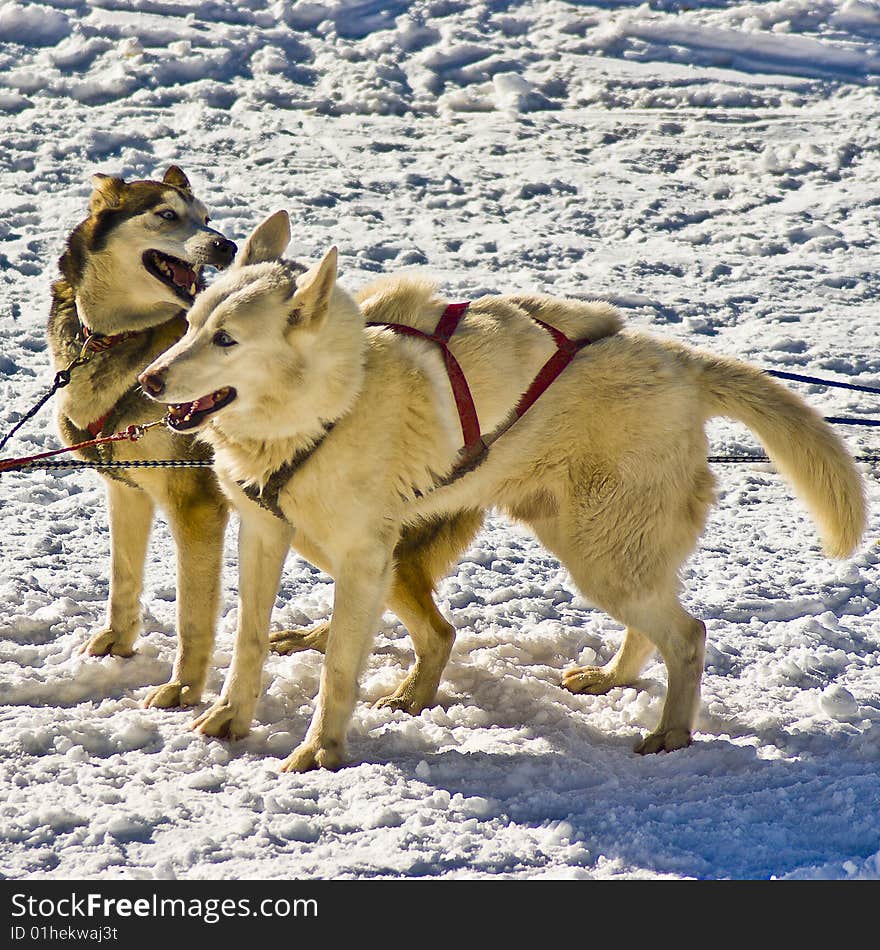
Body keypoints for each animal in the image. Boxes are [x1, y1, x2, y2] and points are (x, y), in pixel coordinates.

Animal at [139, 210, 868, 772]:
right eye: (190, 323)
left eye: (226, 339)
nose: (149, 380)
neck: (332, 404)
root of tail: (678, 361)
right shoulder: (267, 534)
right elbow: (249, 641)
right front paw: (231, 717)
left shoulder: (360, 559)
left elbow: (337, 670)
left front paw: (321, 752)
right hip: (572, 550)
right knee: (620, 628)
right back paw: (605, 678)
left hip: (594, 554)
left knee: (687, 633)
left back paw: (669, 731)